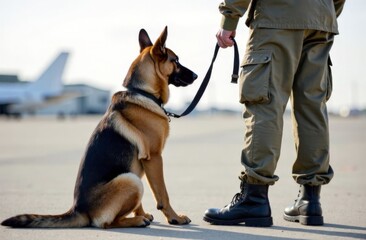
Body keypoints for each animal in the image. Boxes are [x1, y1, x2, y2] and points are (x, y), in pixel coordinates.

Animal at [2, 26, 197, 229]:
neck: (143, 92)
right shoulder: (154, 158)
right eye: (175, 61)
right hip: (131, 180)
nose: (196, 76)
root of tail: (78, 209)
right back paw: (136, 221)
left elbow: (142, 202)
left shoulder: (142, 164)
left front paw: (145, 213)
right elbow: (163, 194)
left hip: (131, 177)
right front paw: (174, 217)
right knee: (108, 223)